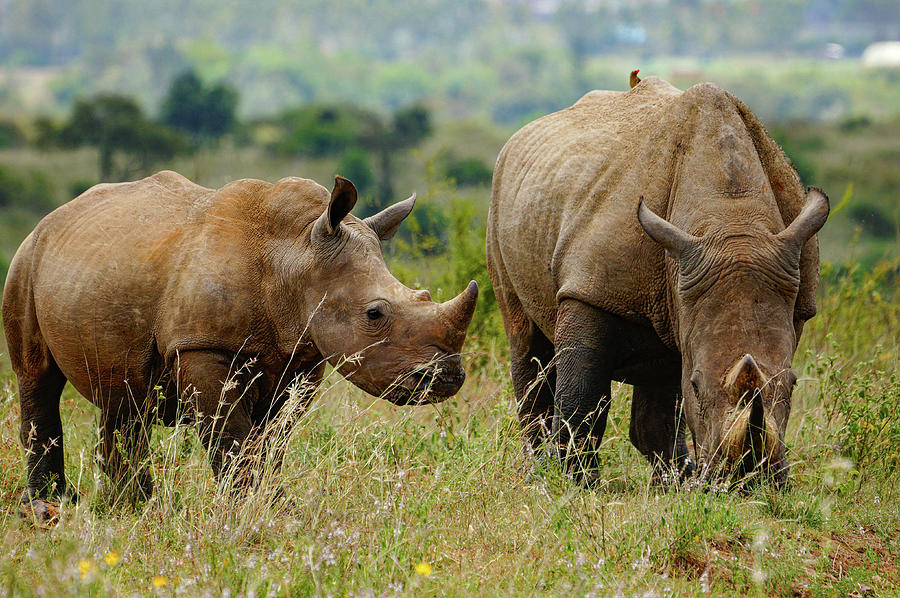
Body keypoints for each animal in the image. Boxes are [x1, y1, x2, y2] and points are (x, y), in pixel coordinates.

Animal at [1, 170, 478, 510]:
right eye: (375, 314)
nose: (448, 378)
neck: (295, 255)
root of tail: (55, 215)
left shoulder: (300, 356)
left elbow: (272, 439)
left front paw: (276, 506)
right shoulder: (202, 346)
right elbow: (231, 433)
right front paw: (252, 508)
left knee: (124, 396)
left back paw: (129, 508)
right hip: (27, 260)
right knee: (37, 377)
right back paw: (50, 507)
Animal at [488, 76, 828, 488]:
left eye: (794, 384)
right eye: (696, 386)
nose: (748, 481)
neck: (733, 223)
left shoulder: (792, 300)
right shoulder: (589, 290)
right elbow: (581, 402)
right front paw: (575, 484)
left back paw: (677, 479)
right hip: (501, 197)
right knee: (525, 341)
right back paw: (538, 471)